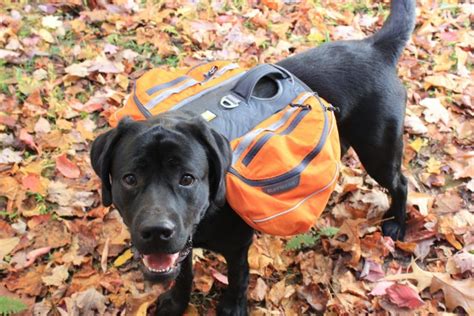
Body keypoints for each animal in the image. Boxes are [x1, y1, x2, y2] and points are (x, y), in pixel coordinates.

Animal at [90, 1, 414, 314]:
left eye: (187, 179)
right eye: (130, 179)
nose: (157, 231)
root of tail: (375, 46)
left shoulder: (236, 246)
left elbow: (238, 278)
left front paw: (233, 307)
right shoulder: (182, 245)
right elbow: (183, 273)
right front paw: (177, 303)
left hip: (378, 150)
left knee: (400, 183)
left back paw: (396, 224)